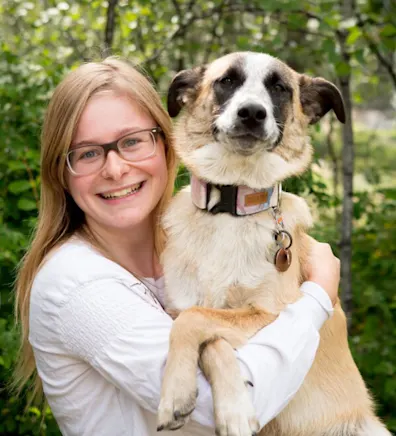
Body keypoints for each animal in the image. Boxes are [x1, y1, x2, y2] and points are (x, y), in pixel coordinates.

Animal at [157, 52, 390, 436]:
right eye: (227, 80)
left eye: (279, 87)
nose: (252, 113)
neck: (230, 212)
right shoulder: (177, 307)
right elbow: (203, 328)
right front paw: (192, 396)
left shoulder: (273, 311)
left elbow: (196, 320)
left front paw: (191, 398)